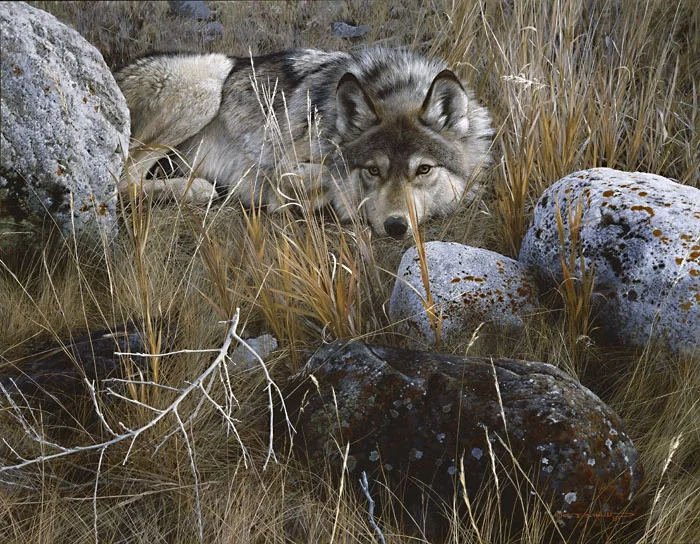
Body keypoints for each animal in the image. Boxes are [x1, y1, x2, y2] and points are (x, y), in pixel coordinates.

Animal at [116, 47, 493, 238]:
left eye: (424, 169)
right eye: (373, 170)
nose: (396, 227)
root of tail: (118, 69)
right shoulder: (281, 167)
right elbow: (328, 177)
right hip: (209, 78)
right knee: (123, 180)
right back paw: (199, 189)